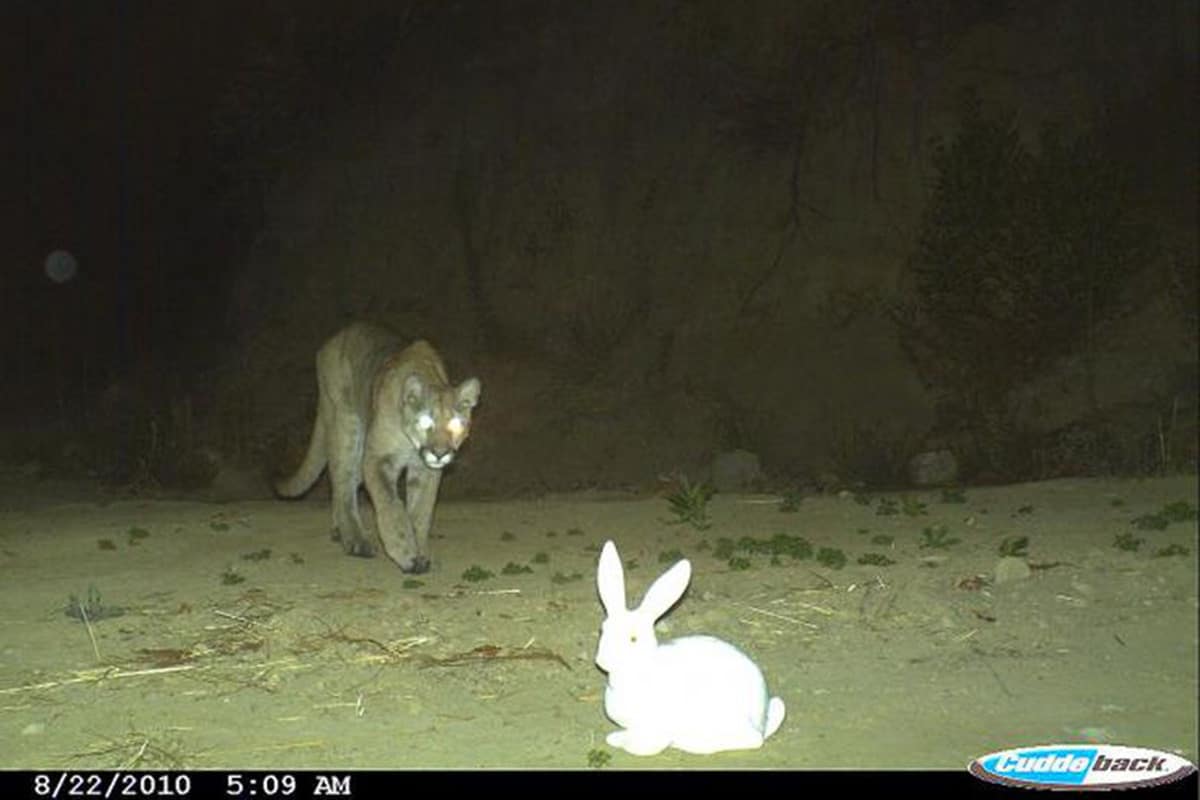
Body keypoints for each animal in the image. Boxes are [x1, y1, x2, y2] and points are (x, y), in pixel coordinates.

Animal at [592, 537, 787, 758]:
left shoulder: (656, 727)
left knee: (753, 740)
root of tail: (762, 721)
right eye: (602, 630)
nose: (602, 661)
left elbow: (641, 745)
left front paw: (619, 740)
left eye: (633, 639)